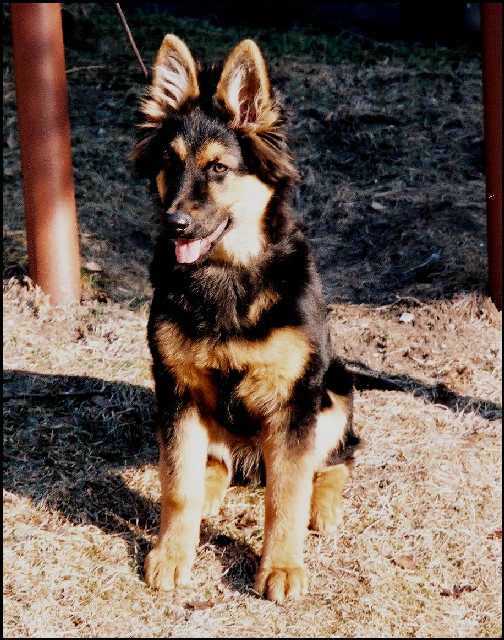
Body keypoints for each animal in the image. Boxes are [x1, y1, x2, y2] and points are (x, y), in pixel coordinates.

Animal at [132, 34, 360, 603]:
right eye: (170, 163)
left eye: (218, 168)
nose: (174, 223)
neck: (226, 275)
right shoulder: (176, 391)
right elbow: (177, 485)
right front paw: (173, 554)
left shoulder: (296, 401)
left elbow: (286, 496)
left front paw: (281, 566)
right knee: (213, 463)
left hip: (336, 392)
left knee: (337, 461)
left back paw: (323, 507)